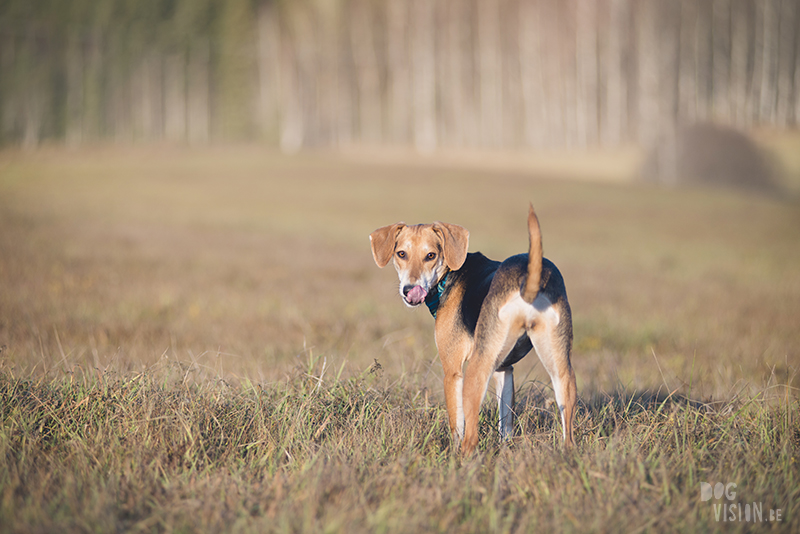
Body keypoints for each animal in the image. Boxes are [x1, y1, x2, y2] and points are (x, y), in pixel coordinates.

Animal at [368, 205, 576, 456]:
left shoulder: (452, 371)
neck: (448, 276)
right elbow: (505, 425)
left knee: (470, 438)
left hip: (476, 370)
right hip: (561, 371)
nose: (410, 290)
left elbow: (456, 425)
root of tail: (527, 282)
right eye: (401, 254)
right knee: (569, 435)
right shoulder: (504, 370)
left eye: (431, 255)